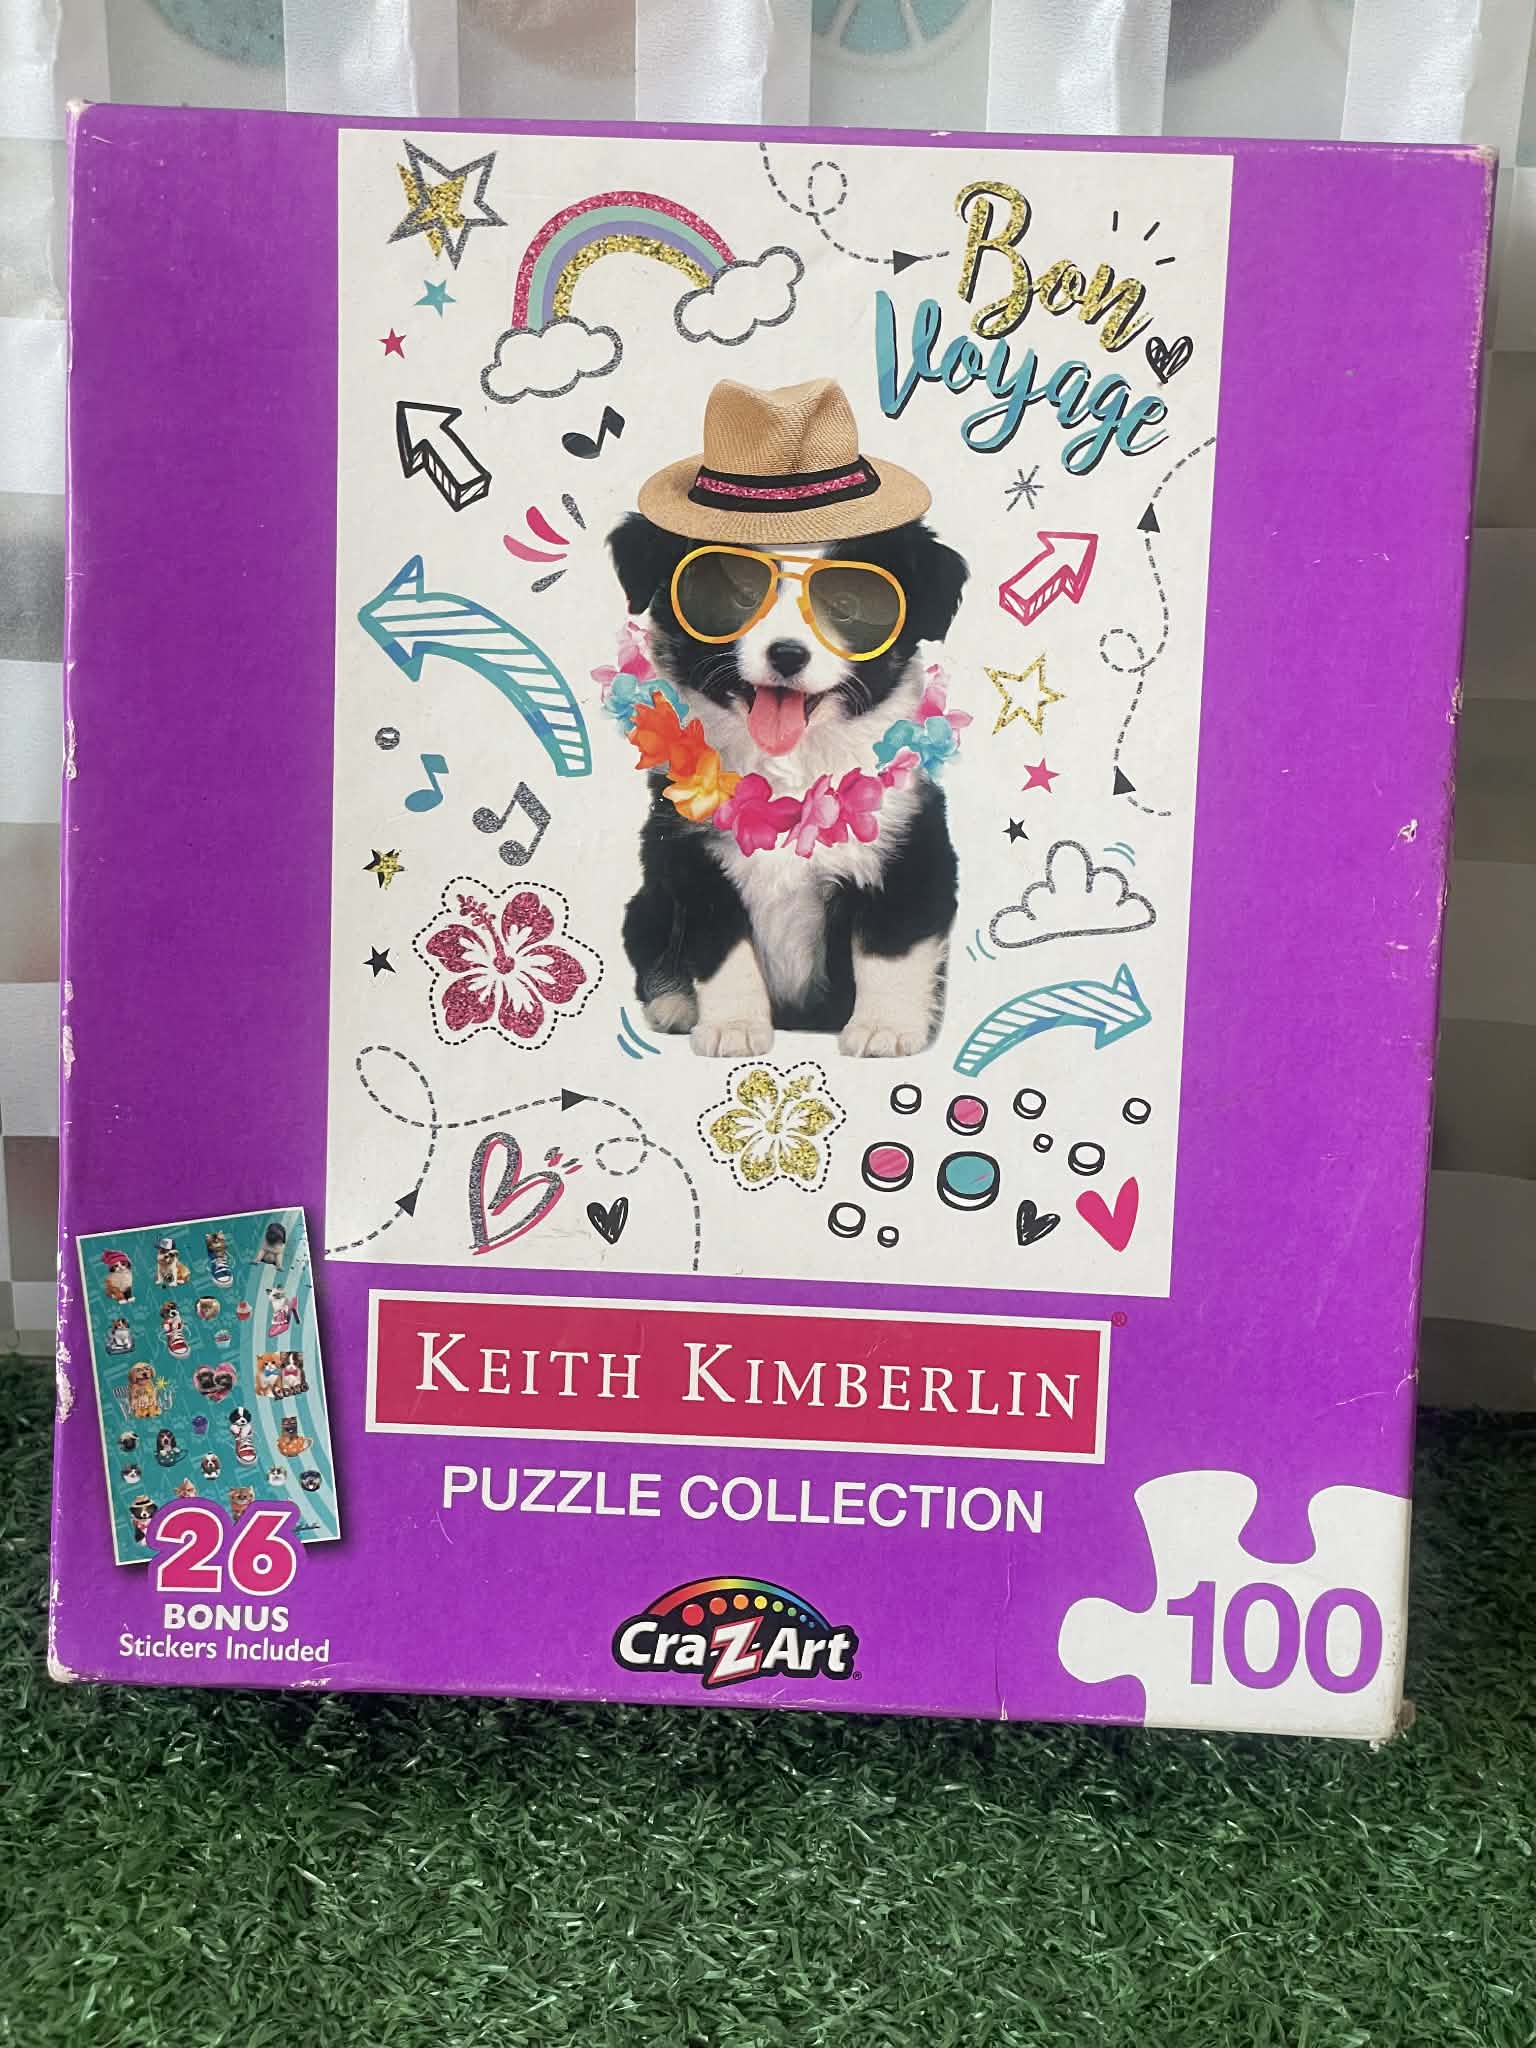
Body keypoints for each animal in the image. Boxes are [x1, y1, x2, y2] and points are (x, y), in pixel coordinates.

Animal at [608, 377, 967, 1058]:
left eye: (849, 603)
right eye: (736, 595)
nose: (788, 654)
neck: (791, 767)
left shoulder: (907, 846)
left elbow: (891, 947)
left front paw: (884, 1028)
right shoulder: (690, 854)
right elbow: (723, 951)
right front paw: (733, 1027)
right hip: (644, 898)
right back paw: (674, 1004)